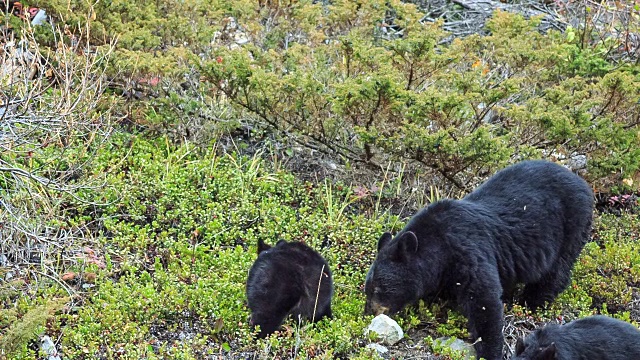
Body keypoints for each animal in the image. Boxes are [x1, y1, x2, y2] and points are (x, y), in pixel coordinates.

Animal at [364, 160, 596, 360]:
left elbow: (483, 301)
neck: (438, 246)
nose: (368, 312)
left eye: (378, 288)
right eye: (367, 288)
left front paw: (489, 351)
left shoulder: (468, 252)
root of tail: (584, 183)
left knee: (556, 269)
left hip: (572, 223)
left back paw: (532, 301)